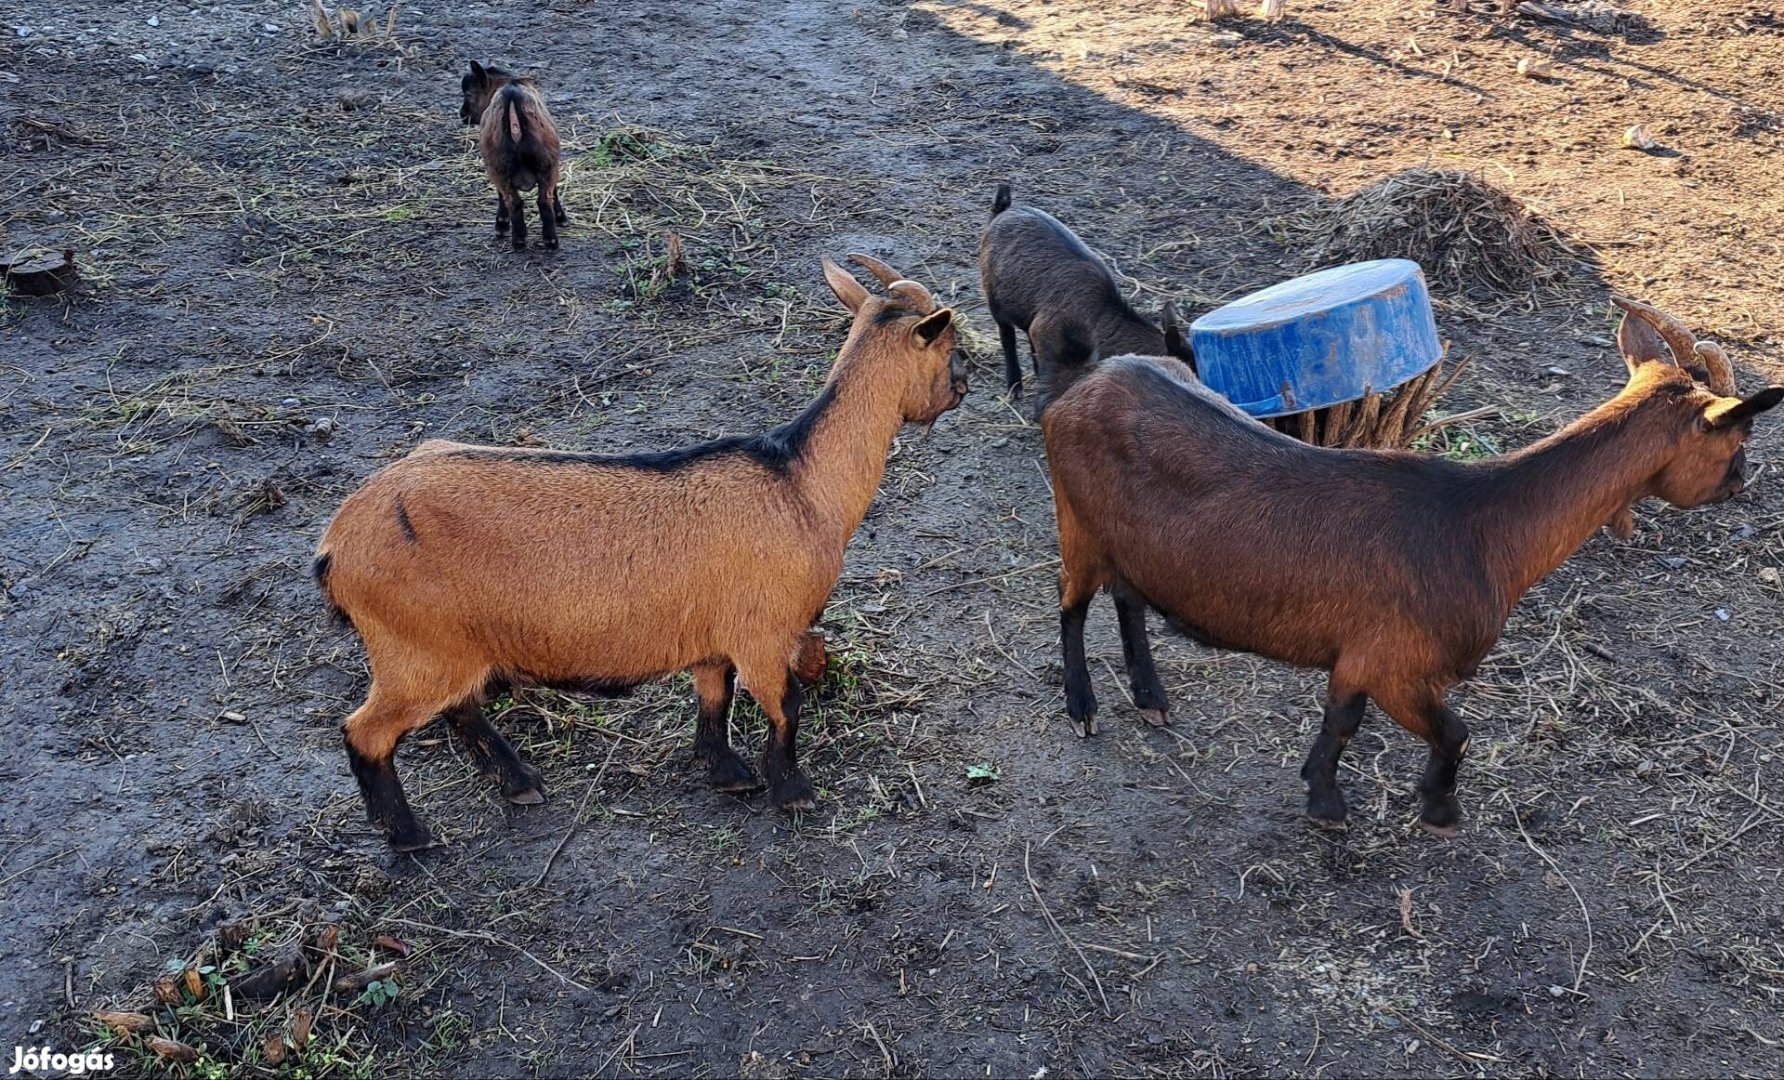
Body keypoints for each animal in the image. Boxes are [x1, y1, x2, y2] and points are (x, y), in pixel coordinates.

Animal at [313, 257, 970, 846]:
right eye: (948, 344)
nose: (963, 387)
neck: (799, 483)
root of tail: (336, 544)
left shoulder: (715, 635)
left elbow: (713, 696)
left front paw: (727, 773)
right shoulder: (764, 631)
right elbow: (786, 705)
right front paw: (792, 792)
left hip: (448, 643)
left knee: (460, 707)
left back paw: (521, 782)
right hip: (413, 646)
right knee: (367, 733)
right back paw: (410, 837)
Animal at [460, 61, 563, 249]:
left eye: (469, 94)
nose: (462, 114)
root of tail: (512, 97)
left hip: (501, 167)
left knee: (515, 201)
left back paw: (517, 237)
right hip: (543, 162)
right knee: (540, 201)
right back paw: (545, 240)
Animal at [1041, 299, 1784, 839]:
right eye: (1739, 435)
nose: (1741, 482)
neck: (1481, 528)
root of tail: (1086, 383)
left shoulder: (1359, 658)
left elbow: (1339, 721)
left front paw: (1320, 792)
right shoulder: (1399, 666)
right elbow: (1455, 732)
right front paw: (1435, 810)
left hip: (1128, 545)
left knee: (1128, 599)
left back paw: (1151, 697)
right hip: (1077, 524)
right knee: (1072, 603)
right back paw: (1082, 708)